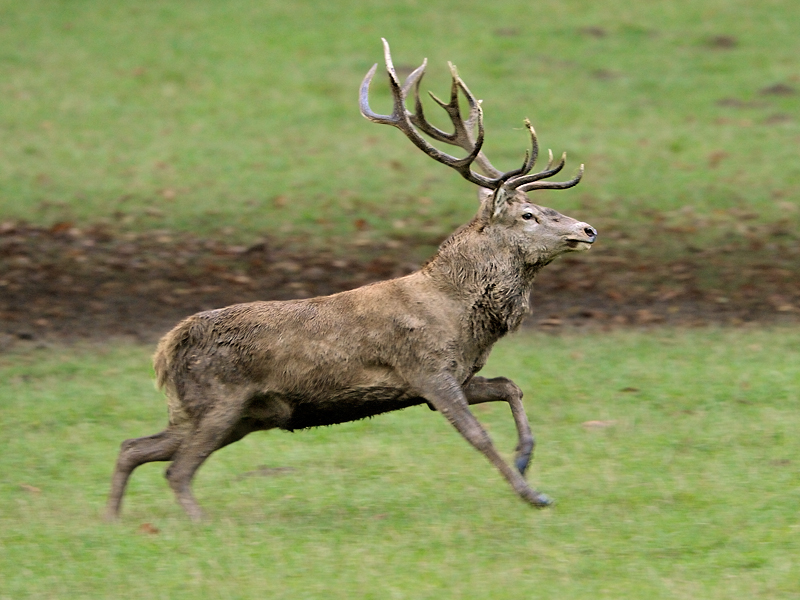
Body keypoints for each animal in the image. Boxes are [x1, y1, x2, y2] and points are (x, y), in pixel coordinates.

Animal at [106, 39, 592, 524]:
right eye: (527, 215)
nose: (588, 230)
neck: (463, 319)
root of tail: (167, 349)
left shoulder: (456, 375)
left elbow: (511, 385)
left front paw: (526, 457)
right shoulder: (427, 372)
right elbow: (479, 436)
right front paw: (532, 494)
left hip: (231, 414)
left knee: (134, 446)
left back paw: (112, 519)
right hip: (219, 400)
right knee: (177, 468)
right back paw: (199, 525)